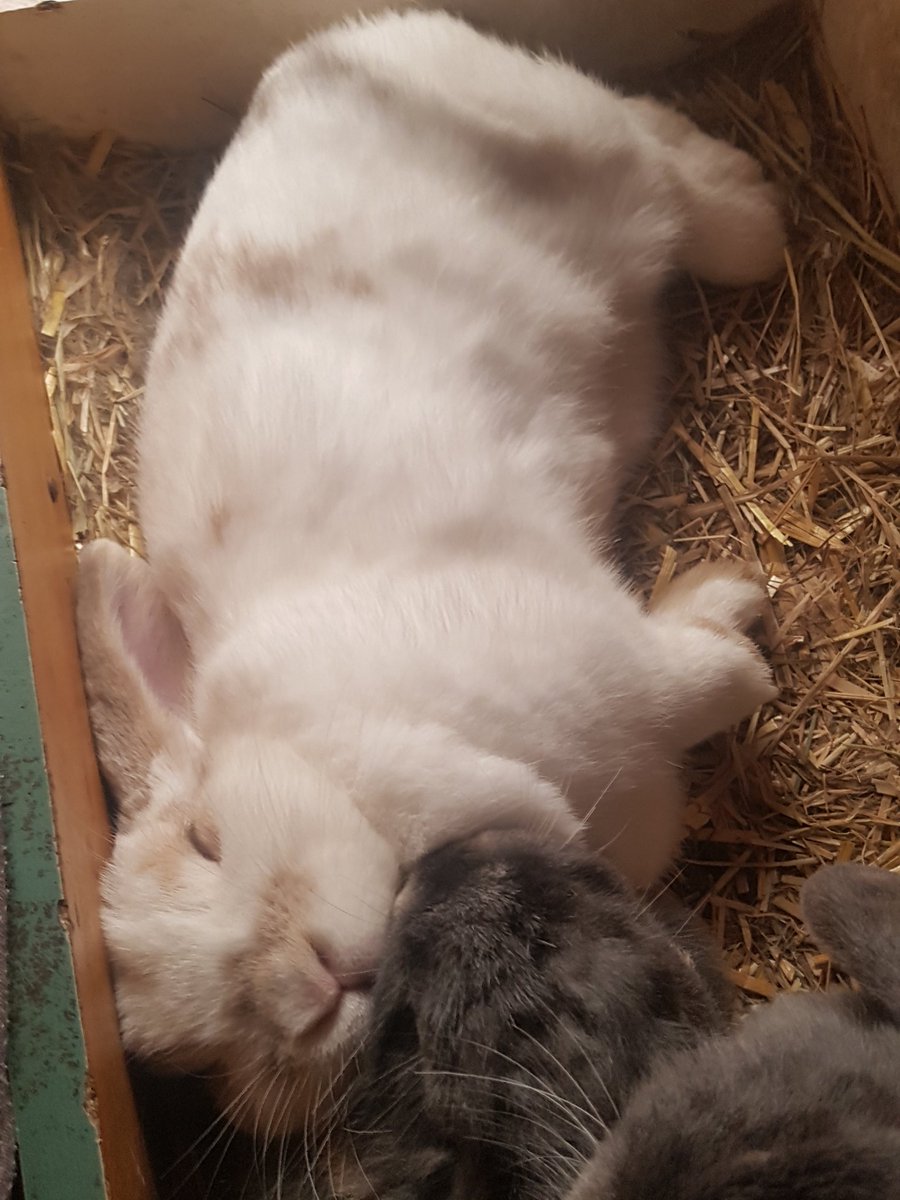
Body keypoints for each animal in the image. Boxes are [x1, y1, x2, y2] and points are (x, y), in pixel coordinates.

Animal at [75, 9, 785, 1137]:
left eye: (206, 842)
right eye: (200, 1059)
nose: (306, 992)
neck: (329, 767)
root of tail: (322, 56)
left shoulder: (590, 662)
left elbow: (696, 684)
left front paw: (745, 638)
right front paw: (731, 601)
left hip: (569, 147)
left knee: (653, 149)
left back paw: (755, 212)